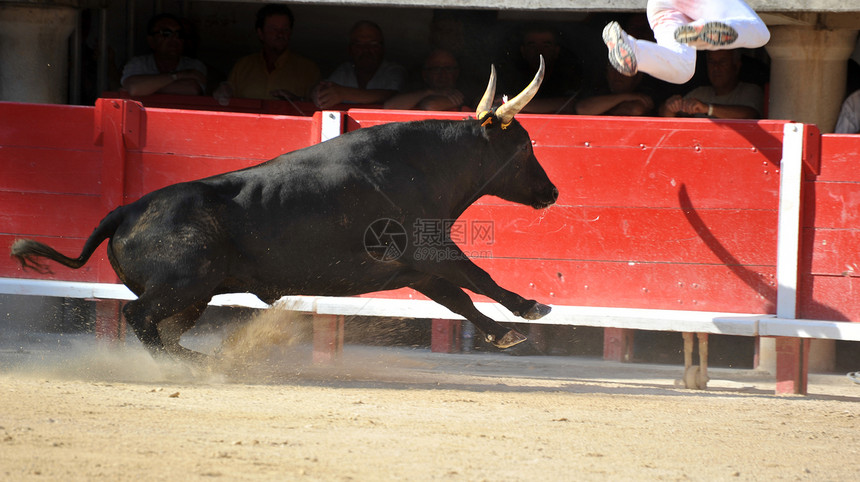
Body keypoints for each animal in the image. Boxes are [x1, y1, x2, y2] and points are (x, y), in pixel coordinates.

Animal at [11, 61, 556, 362]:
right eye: (525, 147)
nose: (551, 193)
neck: (423, 162)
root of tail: (125, 211)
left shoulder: (416, 269)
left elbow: (458, 298)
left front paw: (503, 332)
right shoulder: (431, 248)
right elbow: (478, 277)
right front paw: (531, 308)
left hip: (194, 296)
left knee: (159, 330)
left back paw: (201, 360)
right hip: (184, 283)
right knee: (137, 317)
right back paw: (197, 363)